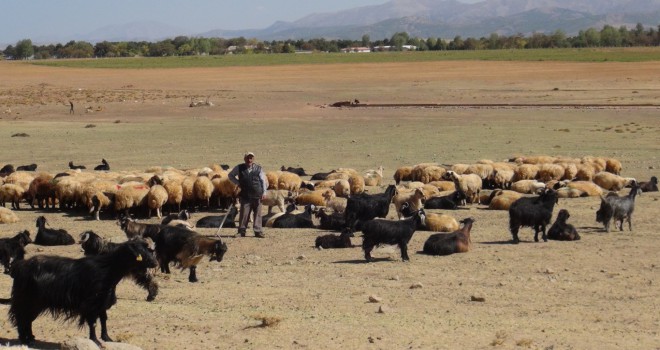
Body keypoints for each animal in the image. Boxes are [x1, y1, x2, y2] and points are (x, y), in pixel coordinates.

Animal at [9, 239, 156, 346]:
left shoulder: (102, 302)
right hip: (28, 301)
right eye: (140, 253)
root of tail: (20, 267)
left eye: (149, 250)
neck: (107, 270)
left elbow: (104, 320)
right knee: (22, 318)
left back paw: (31, 338)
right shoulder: (91, 304)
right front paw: (96, 341)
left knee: (27, 320)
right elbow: (93, 322)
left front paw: (107, 338)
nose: (154, 263)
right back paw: (25, 340)